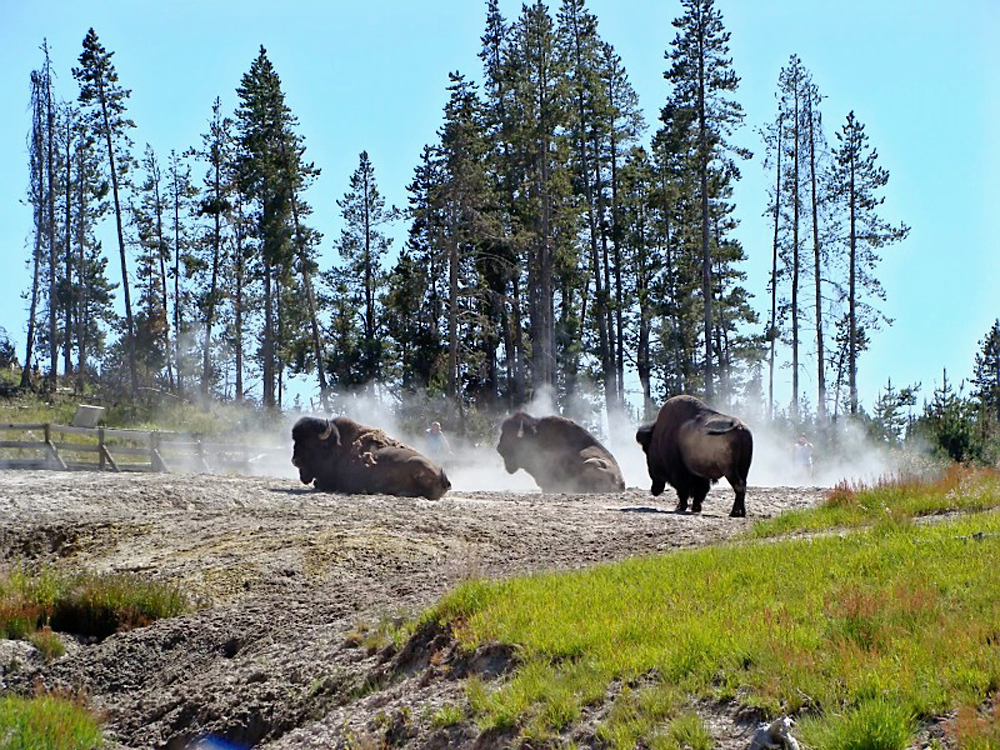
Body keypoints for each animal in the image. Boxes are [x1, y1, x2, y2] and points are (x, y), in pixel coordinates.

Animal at [292, 414, 452, 502]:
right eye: (296, 441)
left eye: (311, 444)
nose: (295, 461)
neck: (337, 447)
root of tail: (442, 476)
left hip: (416, 463)